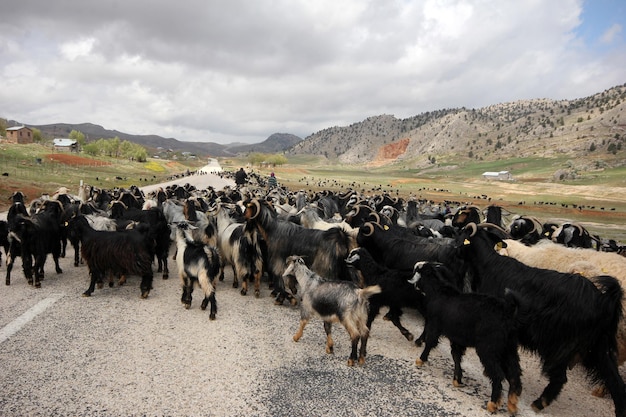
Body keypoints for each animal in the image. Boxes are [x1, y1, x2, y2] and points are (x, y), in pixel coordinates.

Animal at [410, 260, 520, 412]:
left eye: (419, 269)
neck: (439, 292)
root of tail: (507, 312)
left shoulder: (434, 325)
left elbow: (430, 342)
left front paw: (420, 360)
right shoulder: (457, 339)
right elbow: (456, 356)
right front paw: (457, 379)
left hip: (488, 349)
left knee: (498, 375)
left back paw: (493, 403)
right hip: (509, 349)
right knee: (515, 374)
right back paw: (512, 404)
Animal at [456, 223, 620, 414]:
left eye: (462, 234)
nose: (453, 245)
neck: (488, 265)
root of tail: (603, 300)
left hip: (560, 346)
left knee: (560, 378)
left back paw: (539, 403)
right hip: (599, 348)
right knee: (615, 381)